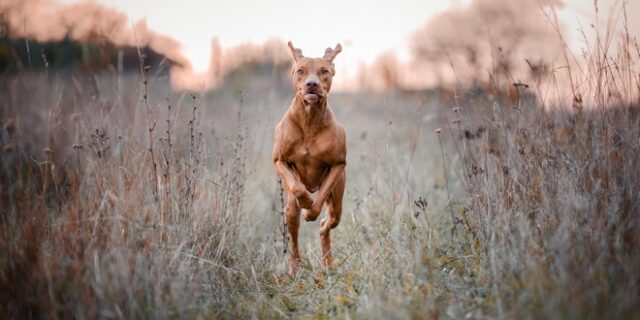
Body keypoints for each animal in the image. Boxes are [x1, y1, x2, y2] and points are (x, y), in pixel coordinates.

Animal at [272, 40, 348, 276]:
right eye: (301, 71)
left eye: (324, 71)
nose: (312, 84)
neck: (309, 120)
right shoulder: (279, 161)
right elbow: (297, 188)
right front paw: (305, 202)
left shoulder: (338, 164)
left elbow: (320, 198)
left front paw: (310, 211)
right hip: (289, 210)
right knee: (294, 232)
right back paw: (295, 267)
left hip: (337, 205)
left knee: (326, 225)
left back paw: (327, 264)